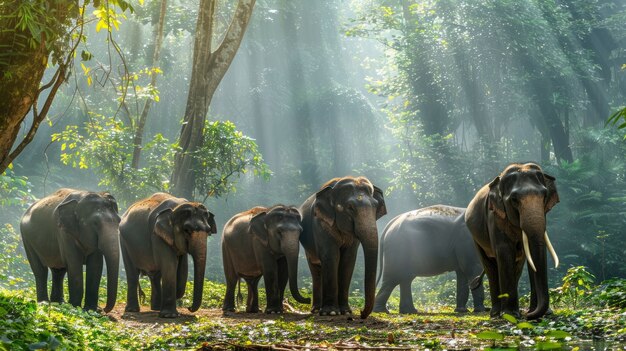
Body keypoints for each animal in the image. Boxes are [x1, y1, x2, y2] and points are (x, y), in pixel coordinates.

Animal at [120, 192, 217, 320]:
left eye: (208, 231)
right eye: (187, 230)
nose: (189, 308)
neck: (176, 209)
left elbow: (182, 270)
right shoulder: (157, 235)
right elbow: (170, 265)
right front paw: (169, 316)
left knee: (155, 275)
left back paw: (156, 308)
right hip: (123, 241)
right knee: (132, 272)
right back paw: (133, 310)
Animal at [298, 176, 386, 320]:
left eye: (375, 206)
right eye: (350, 207)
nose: (361, 313)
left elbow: (348, 259)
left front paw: (346, 312)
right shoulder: (321, 223)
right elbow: (331, 256)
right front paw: (330, 313)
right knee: (316, 270)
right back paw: (316, 310)